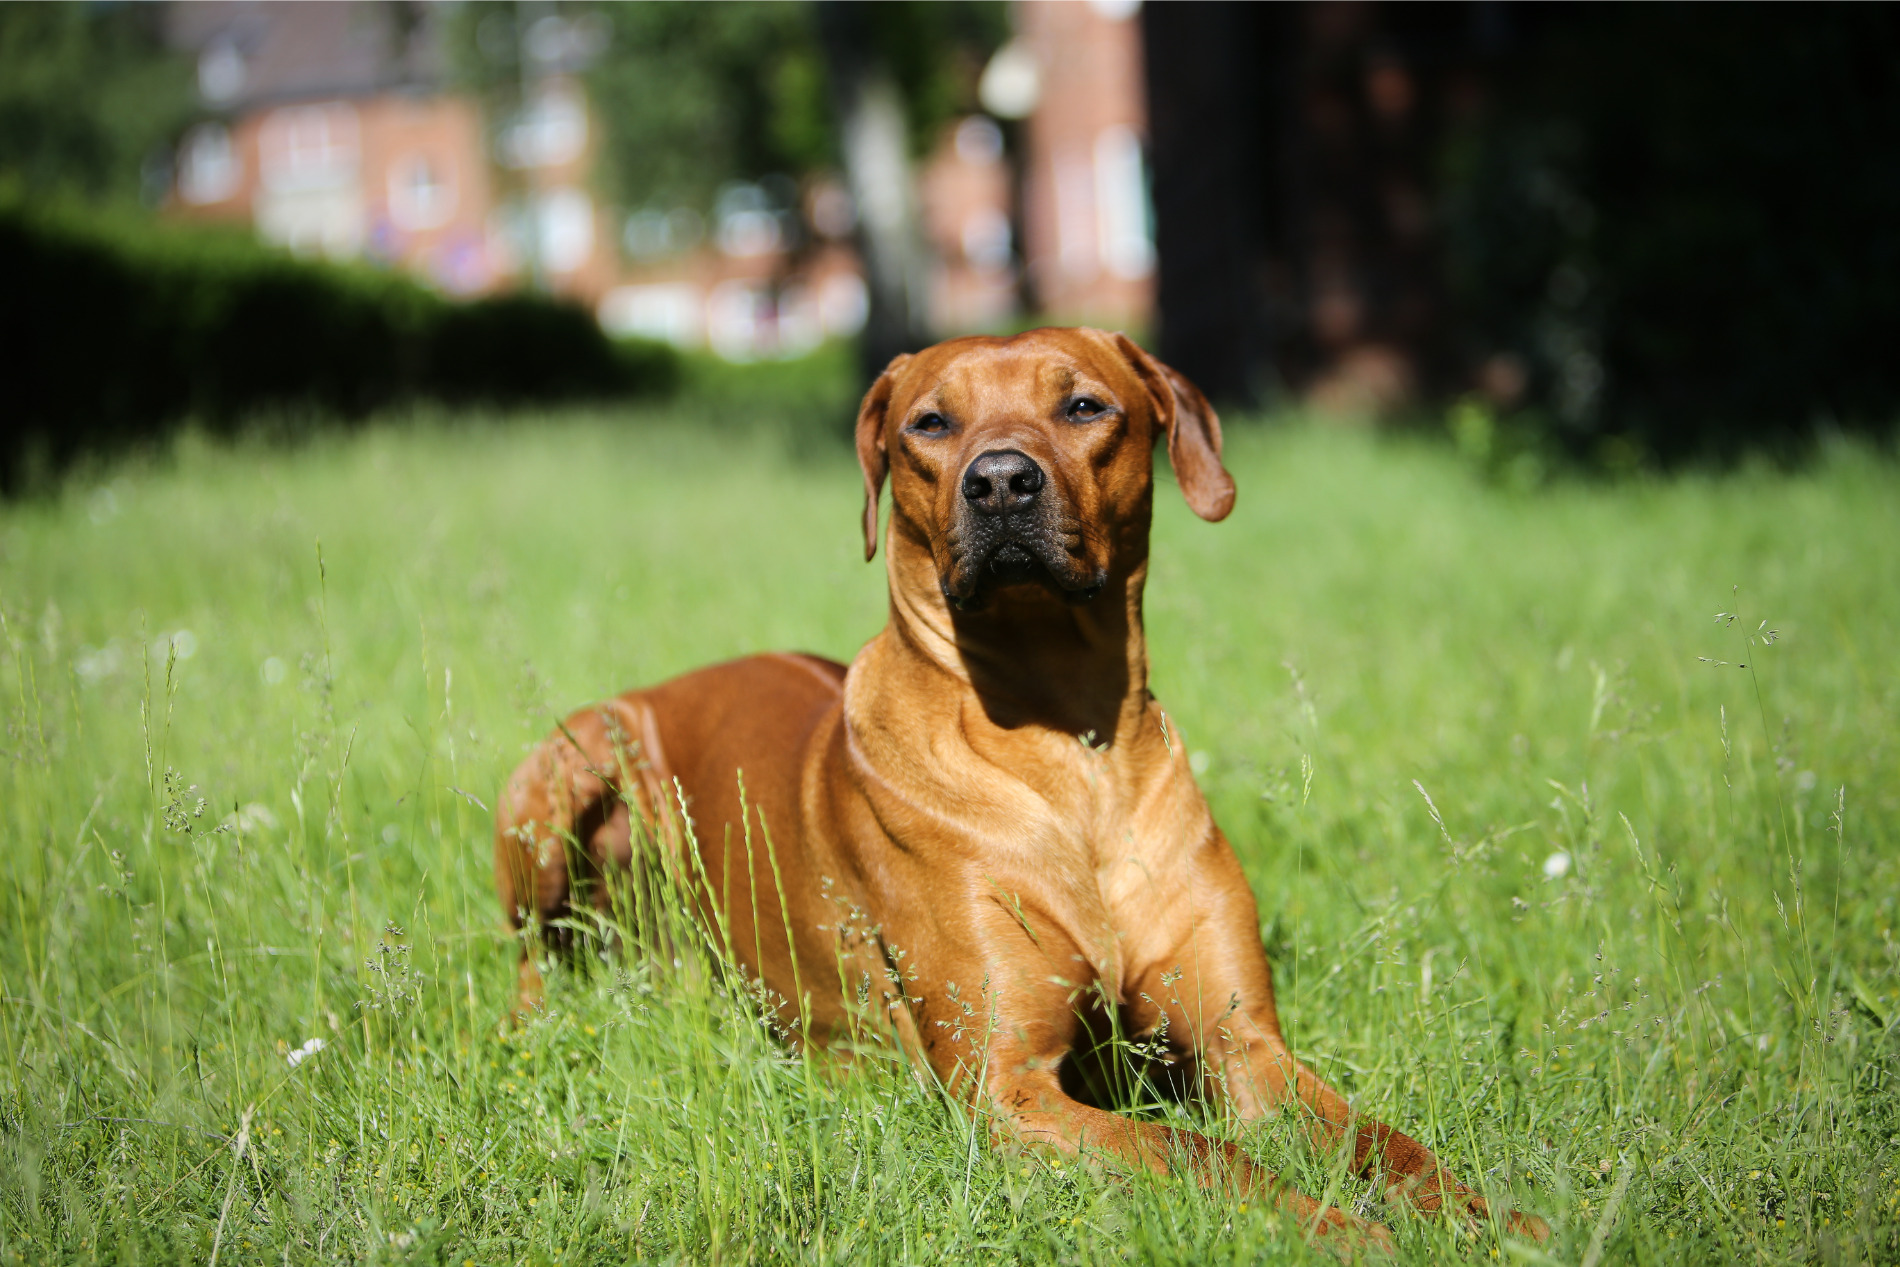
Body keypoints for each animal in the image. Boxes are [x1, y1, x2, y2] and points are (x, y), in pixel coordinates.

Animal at [497, 326, 1550, 1246]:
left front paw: (1499, 1218)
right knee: (528, 962)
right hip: (567, 765)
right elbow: (1201, 1152)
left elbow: (1390, 1143)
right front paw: (1336, 1229)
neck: (1062, 735)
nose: (1001, 479)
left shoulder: (1245, 1046)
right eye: (929, 422)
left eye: (1084, 405)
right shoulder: (1007, 1084)